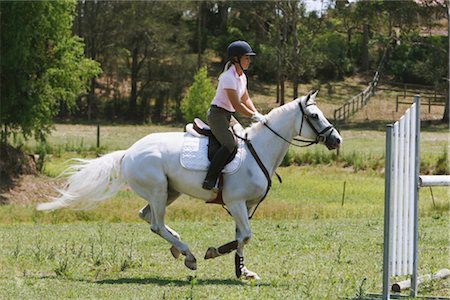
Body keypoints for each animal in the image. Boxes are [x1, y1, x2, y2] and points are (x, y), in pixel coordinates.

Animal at [37, 90, 342, 280]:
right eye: (314, 116)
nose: (336, 139)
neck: (261, 149)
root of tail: (128, 152)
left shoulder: (243, 206)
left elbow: (242, 237)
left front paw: (242, 270)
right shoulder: (236, 203)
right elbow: (245, 236)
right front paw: (214, 253)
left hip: (169, 192)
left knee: (147, 216)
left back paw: (179, 248)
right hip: (159, 190)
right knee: (155, 224)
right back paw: (188, 254)